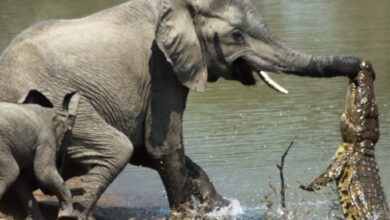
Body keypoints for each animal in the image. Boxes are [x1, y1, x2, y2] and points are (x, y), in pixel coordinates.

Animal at [0, 90, 80, 219]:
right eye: (63, 143)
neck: (57, 113)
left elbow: (22, 182)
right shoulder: (46, 139)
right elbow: (44, 173)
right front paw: (66, 216)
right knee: (11, 171)